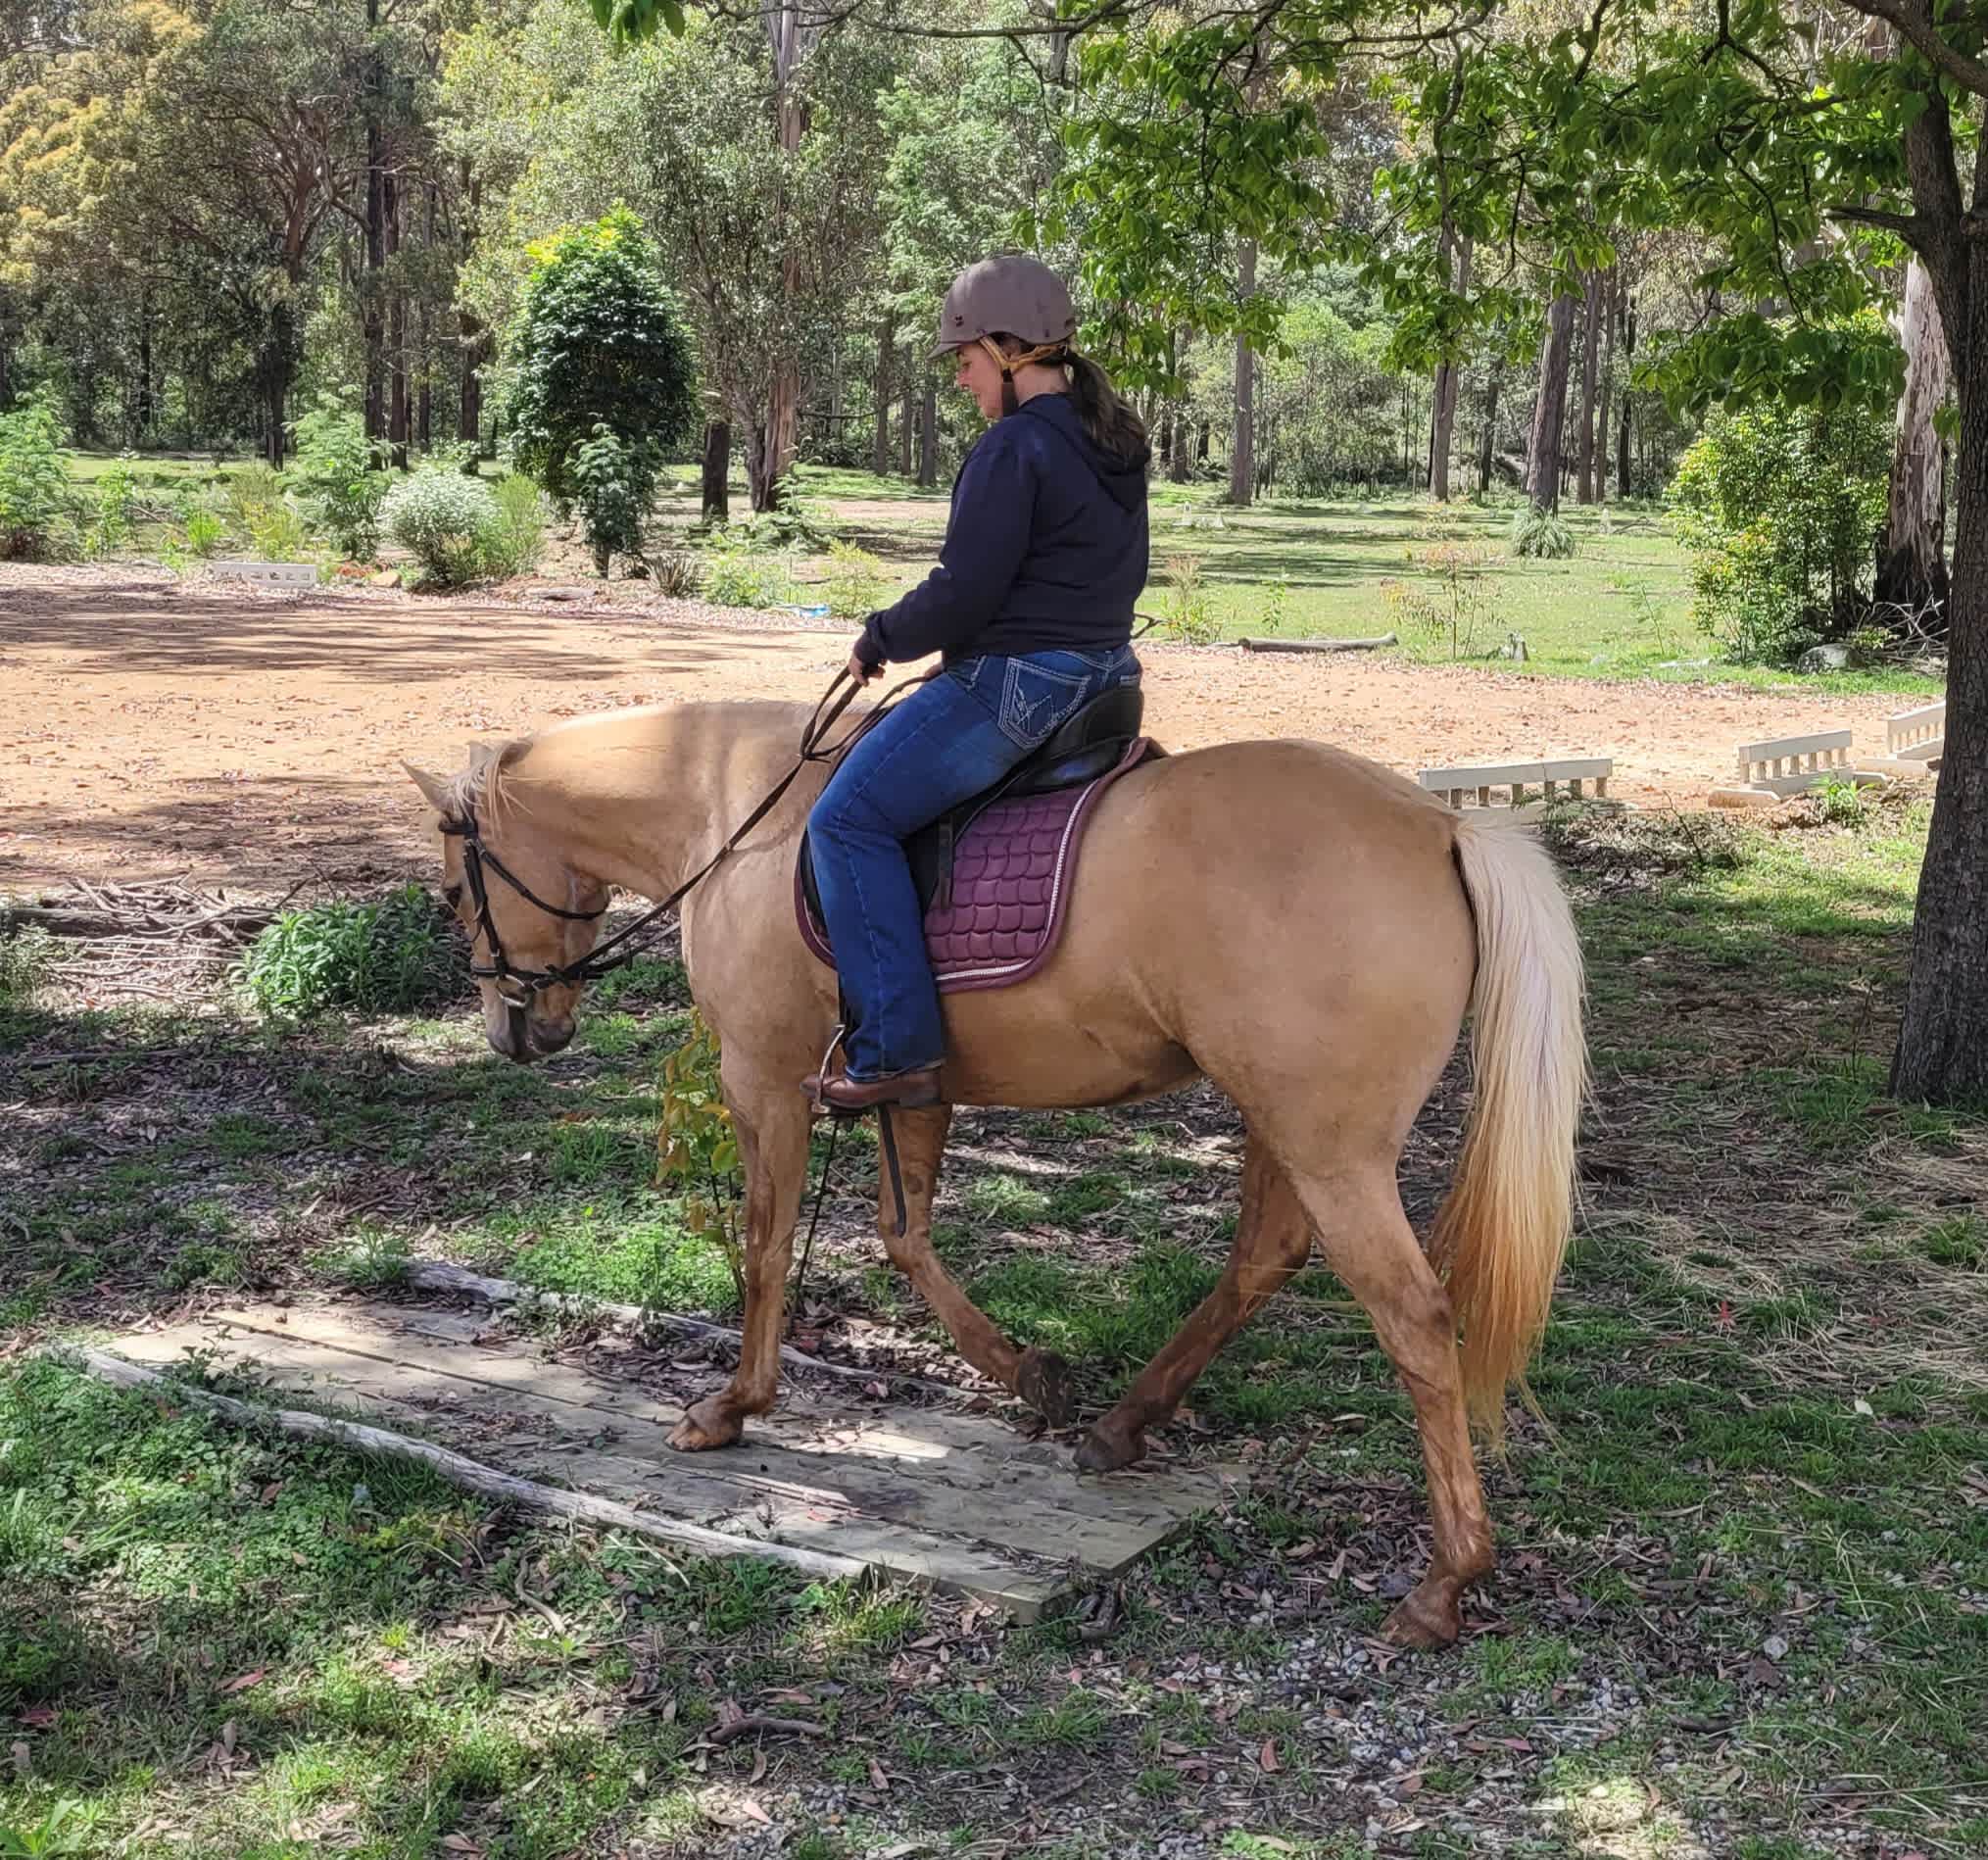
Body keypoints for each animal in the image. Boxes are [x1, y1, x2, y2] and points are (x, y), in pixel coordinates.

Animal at [406, 695, 1586, 1648]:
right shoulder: (912, 1089)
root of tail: (1442, 824)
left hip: (1327, 1147)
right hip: (1281, 1123)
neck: (737, 813)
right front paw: (1028, 1372)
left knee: (1414, 1320)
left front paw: (733, 1405)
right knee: (1263, 1258)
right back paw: (1122, 1423)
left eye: (456, 894)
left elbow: (764, 1241)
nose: (515, 1030)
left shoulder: (764, 1079)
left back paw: (1444, 1582)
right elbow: (903, 1235)